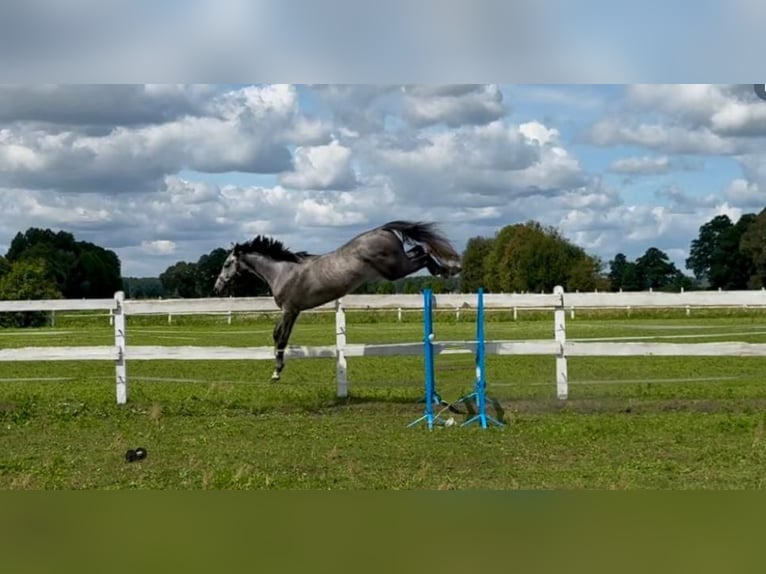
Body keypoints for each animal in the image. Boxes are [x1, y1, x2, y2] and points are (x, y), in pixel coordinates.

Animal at [213, 220, 462, 381]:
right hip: (398, 264)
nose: (217, 288)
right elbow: (278, 336)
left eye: (226, 264)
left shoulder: (290, 310)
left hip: (394, 269)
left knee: (422, 252)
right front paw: (277, 369)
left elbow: (281, 337)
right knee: (420, 250)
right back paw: (446, 269)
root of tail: (381, 229)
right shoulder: (292, 311)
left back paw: (449, 269)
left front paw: (277, 372)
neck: (282, 271)